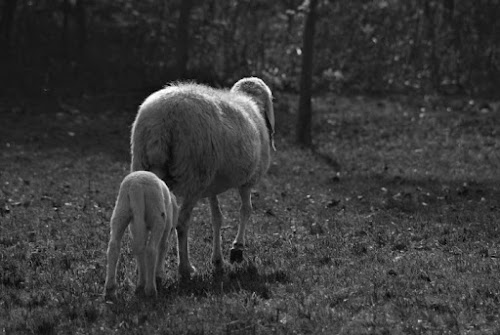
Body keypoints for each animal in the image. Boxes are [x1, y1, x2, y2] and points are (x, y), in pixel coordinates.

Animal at [102, 171, 179, 300]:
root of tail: (136, 186)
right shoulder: (168, 227)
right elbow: (163, 246)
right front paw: (159, 275)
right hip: (157, 214)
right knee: (151, 249)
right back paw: (150, 290)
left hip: (121, 209)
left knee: (115, 247)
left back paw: (111, 290)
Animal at [129, 77, 276, 280]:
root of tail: (163, 120)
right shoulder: (247, 181)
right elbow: (245, 210)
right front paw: (237, 248)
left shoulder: (211, 187)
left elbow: (217, 218)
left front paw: (218, 260)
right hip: (195, 176)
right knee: (182, 222)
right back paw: (185, 268)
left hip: (146, 167)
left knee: (157, 221)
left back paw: (149, 271)